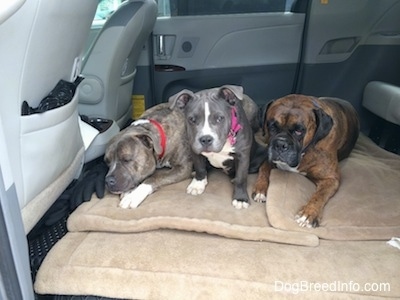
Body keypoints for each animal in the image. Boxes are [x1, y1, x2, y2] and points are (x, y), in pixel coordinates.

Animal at [253, 95, 360, 229]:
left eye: (299, 131)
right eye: (272, 127)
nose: (280, 144)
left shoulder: (331, 179)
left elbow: (319, 195)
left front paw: (308, 213)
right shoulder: (269, 159)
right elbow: (263, 169)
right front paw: (260, 189)